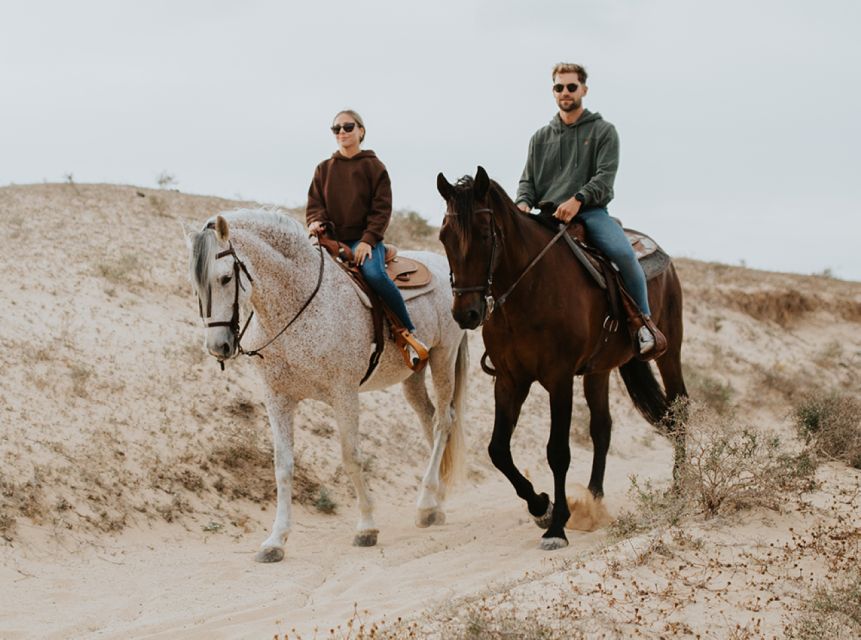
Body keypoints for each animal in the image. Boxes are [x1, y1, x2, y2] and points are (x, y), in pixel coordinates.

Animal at [184, 209, 466, 560]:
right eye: (195, 283)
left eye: (224, 278)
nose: (218, 346)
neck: (295, 306)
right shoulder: (277, 399)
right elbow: (282, 465)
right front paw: (276, 540)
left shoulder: (344, 395)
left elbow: (351, 457)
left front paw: (366, 527)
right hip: (413, 374)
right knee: (429, 419)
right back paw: (435, 504)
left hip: (443, 358)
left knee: (444, 421)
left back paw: (426, 503)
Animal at [436, 169, 684, 552]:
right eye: (444, 237)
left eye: (484, 234)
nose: (467, 313)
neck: (529, 289)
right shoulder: (510, 380)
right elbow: (497, 450)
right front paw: (542, 506)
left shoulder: (559, 378)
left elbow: (557, 452)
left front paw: (556, 526)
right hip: (599, 370)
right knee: (602, 428)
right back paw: (594, 500)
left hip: (669, 353)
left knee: (680, 410)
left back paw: (682, 487)